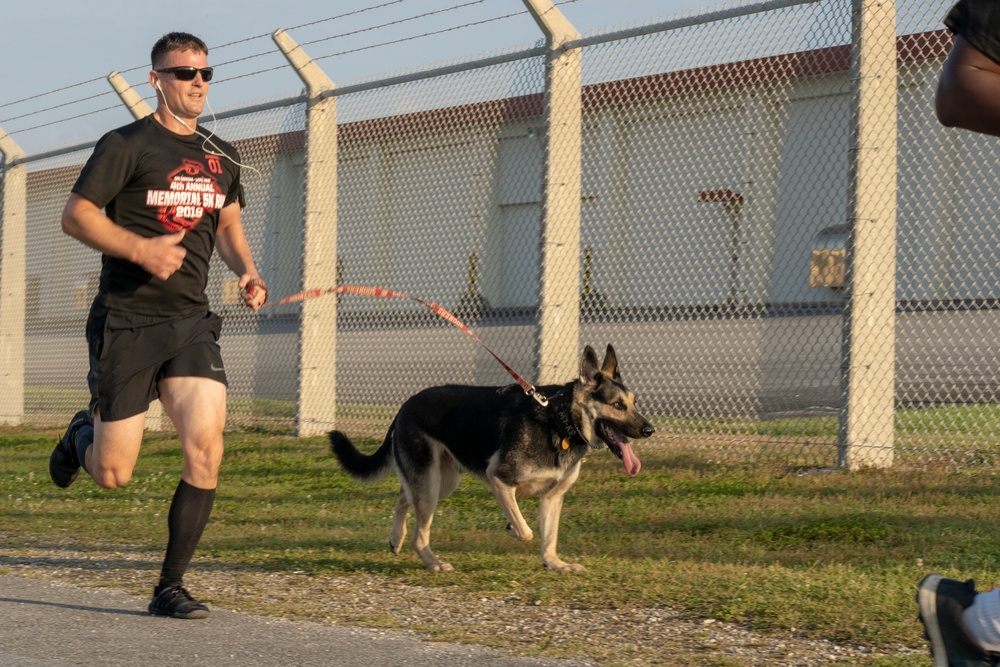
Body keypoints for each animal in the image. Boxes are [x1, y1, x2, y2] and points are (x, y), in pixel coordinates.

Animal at [328, 344, 656, 576]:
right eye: (617, 405)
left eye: (634, 403)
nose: (650, 430)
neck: (560, 420)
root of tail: (404, 405)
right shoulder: (499, 478)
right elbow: (527, 531)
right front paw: (514, 529)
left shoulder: (552, 498)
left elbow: (549, 537)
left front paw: (554, 563)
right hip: (432, 485)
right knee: (419, 532)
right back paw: (433, 563)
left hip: (441, 482)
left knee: (402, 496)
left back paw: (396, 538)